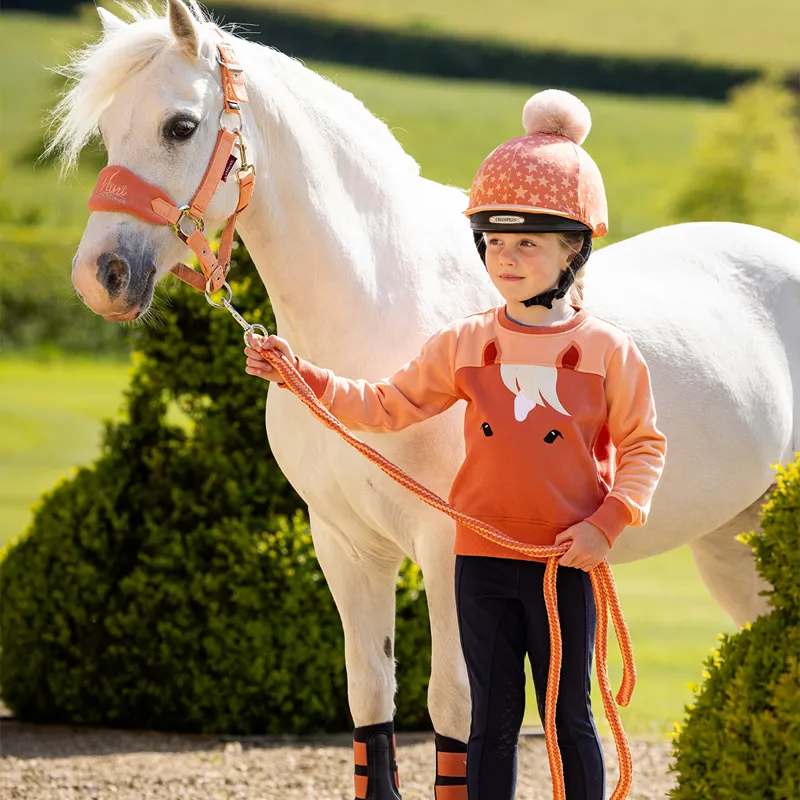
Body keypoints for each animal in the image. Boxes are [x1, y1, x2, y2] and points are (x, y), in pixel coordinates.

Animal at [52, 0, 800, 794]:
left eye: (180, 126)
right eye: (107, 133)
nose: (99, 276)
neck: (377, 302)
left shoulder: (447, 549)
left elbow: (456, 706)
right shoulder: (344, 544)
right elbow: (370, 699)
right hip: (734, 543)